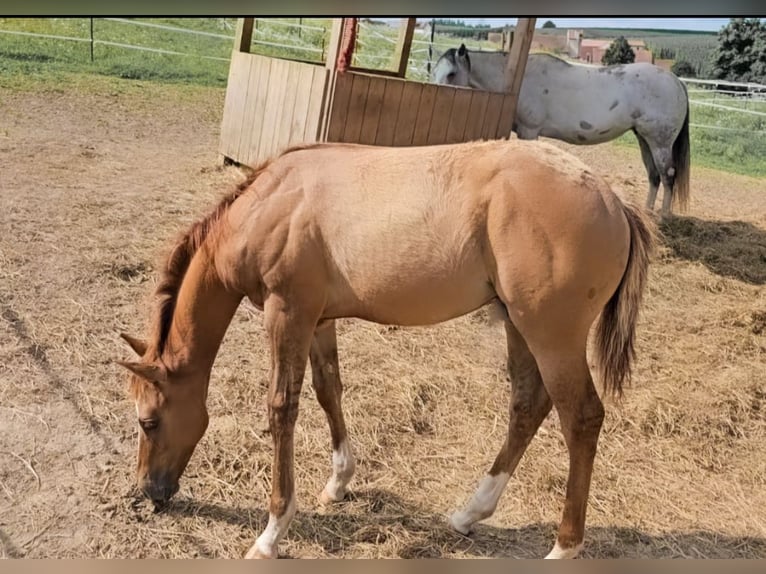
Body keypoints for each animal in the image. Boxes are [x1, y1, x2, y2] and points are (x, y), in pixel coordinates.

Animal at [118, 141, 656, 564]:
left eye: (148, 421)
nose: (148, 491)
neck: (270, 204)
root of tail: (614, 202)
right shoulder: (319, 320)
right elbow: (328, 390)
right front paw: (338, 483)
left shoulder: (286, 313)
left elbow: (282, 409)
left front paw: (271, 533)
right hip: (519, 326)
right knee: (527, 405)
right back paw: (469, 512)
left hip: (551, 336)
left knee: (581, 418)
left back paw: (563, 547)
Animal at [432, 45, 696, 216]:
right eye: (433, 71)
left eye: (451, 73)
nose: (437, 94)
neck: (522, 77)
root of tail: (676, 81)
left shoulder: (529, 131)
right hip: (644, 139)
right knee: (654, 176)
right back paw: (647, 212)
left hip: (660, 143)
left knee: (668, 176)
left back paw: (662, 217)